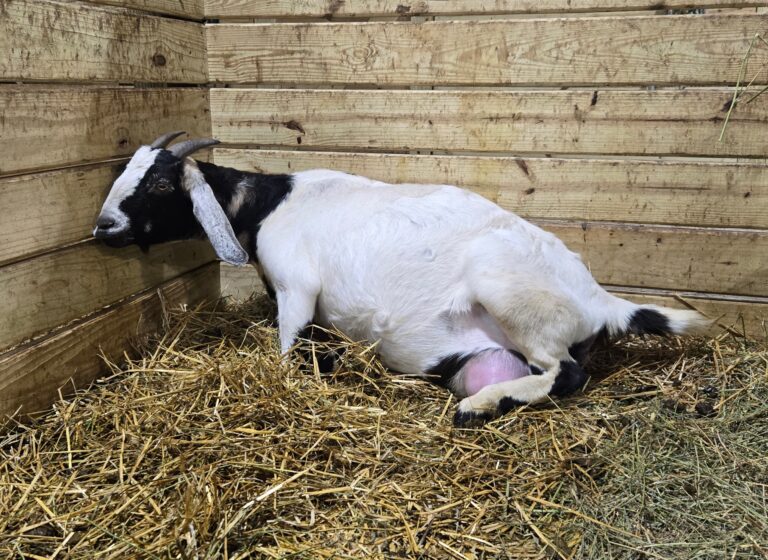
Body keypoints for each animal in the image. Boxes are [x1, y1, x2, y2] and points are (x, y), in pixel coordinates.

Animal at [94, 132, 708, 426]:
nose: (103, 227)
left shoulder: (296, 289)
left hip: (511, 293)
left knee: (567, 373)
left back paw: (479, 408)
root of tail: (598, 300)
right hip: (471, 354)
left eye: (162, 184)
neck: (272, 201)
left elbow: (287, 351)